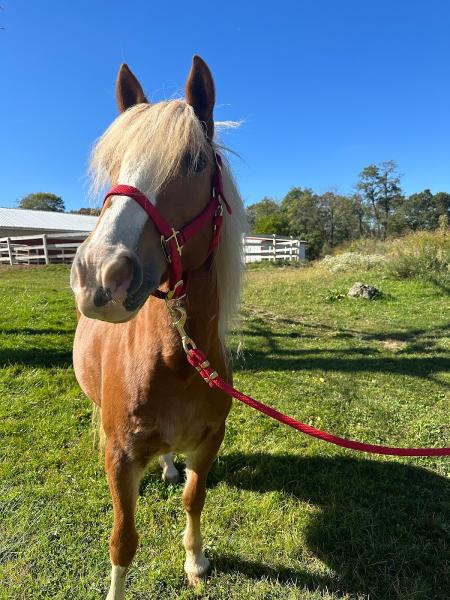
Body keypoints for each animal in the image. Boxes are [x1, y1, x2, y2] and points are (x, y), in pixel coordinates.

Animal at [70, 54, 246, 596]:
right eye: (112, 164)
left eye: (194, 163)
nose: (99, 275)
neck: (177, 361)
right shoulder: (120, 457)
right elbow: (123, 541)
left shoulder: (209, 441)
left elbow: (194, 498)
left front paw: (195, 561)